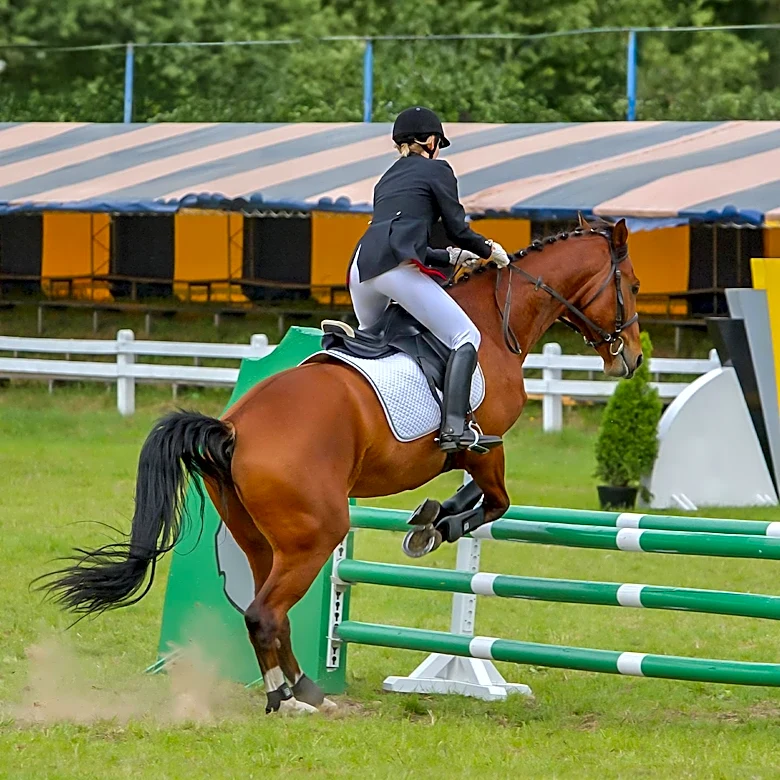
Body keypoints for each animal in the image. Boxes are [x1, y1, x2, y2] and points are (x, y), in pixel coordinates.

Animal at [40, 214, 642, 715]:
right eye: (633, 287)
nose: (632, 359)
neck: (497, 322)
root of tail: (234, 429)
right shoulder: (483, 443)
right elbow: (494, 500)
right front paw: (437, 526)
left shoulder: (475, 451)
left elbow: (477, 495)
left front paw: (431, 517)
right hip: (317, 535)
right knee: (264, 613)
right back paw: (298, 693)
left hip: (261, 540)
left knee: (266, 611)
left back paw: (293, 691)